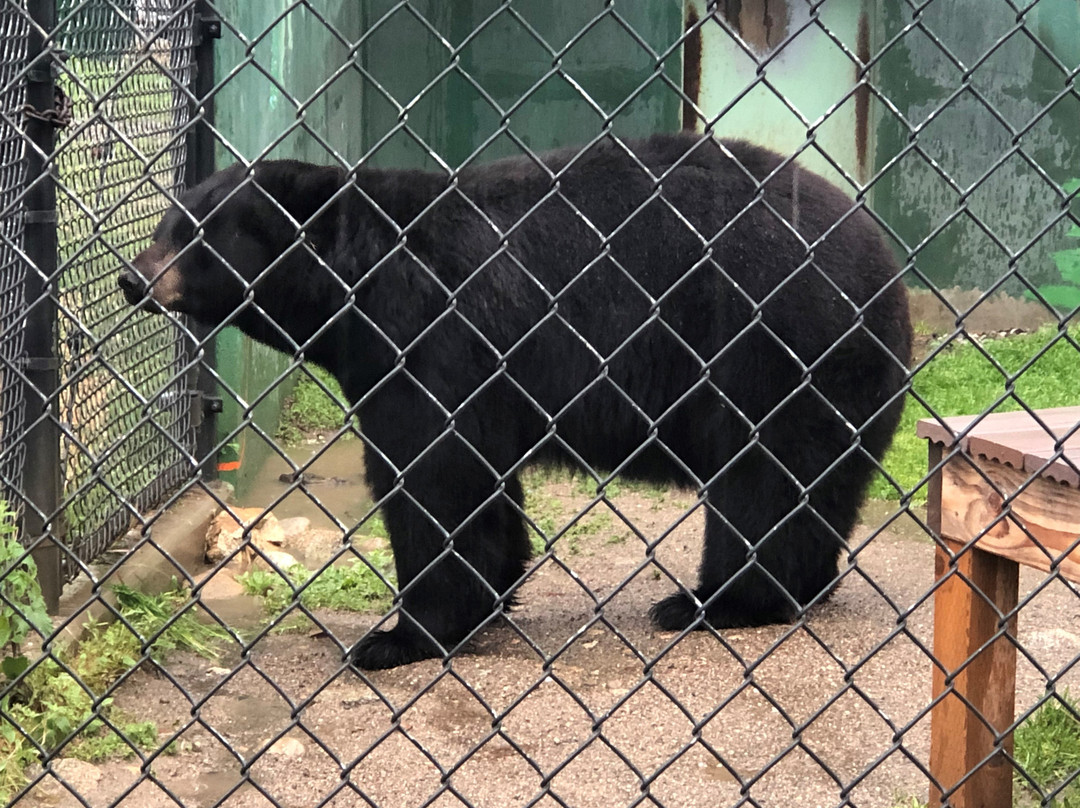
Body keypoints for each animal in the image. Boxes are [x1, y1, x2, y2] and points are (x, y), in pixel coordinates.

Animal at [120, 135, 911, 674]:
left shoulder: (432, 338)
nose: (132, 278)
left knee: (765, 484)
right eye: (166, 225)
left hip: (777, 355)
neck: (361, 281)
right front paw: (490, 595)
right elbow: (480, 482)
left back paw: (712, 602)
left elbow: (433, 476)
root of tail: (887, 270)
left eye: (195, 235)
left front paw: (397, 637)